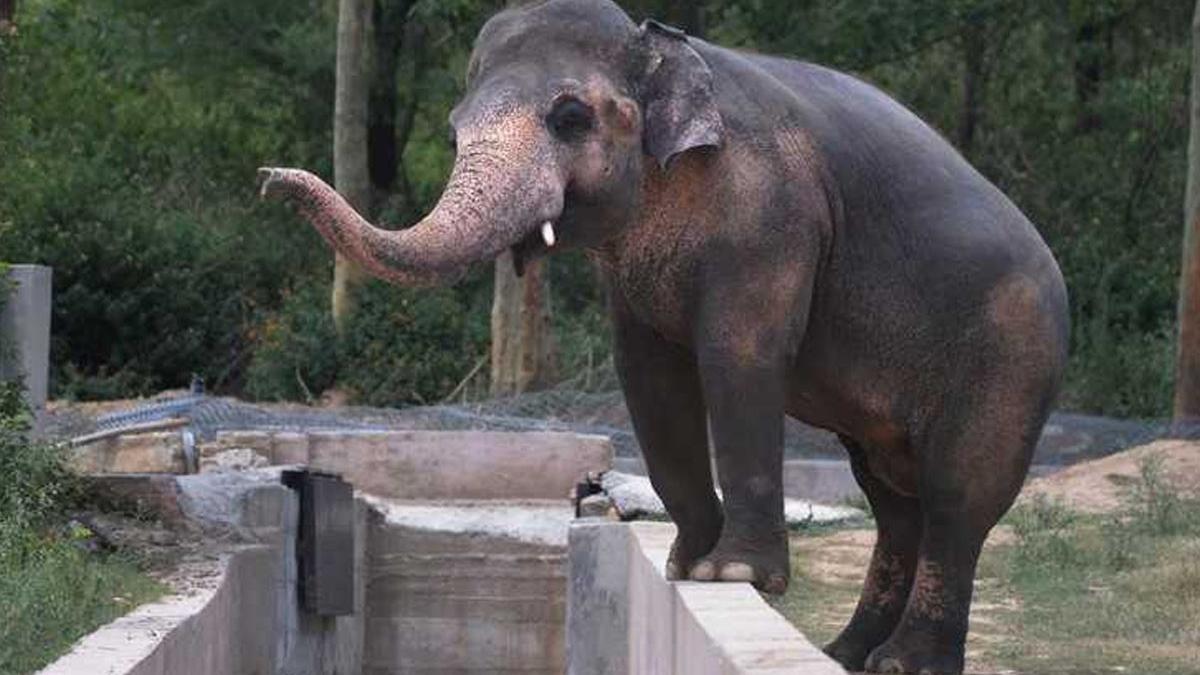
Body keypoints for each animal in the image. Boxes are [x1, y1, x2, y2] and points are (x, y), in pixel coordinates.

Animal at [258, 1, 1068, 672]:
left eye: (570, 117)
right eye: (454, 132)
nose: (269, 178)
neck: (661, 49)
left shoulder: (770, 215)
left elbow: (739, 356)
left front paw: (733, 574)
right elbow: (646, 371)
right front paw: (686, 567)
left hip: (1012, 355)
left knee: (957, 498)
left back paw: (903, 662)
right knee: (892, 498)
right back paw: (847, 654)